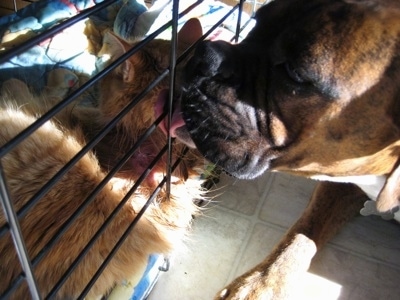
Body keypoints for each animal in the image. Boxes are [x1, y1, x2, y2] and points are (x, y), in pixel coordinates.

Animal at [169, 0, 400, 298]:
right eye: (256, 22)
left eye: (294, 73)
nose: (204, 54)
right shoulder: (342, 186)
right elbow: (303, 232)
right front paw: (261, 283)